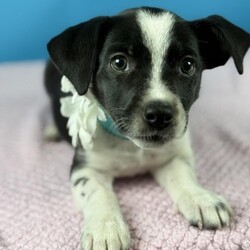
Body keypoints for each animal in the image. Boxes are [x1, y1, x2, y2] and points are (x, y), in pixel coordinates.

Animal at [45, 6, 250, 249]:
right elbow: (97, 191)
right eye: (119, 62)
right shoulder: (85, 167)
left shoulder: (172, 156)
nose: (160, 115)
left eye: (187, 65)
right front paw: (106, 228)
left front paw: (200, 198)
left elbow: (183, 175)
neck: (133, 147)